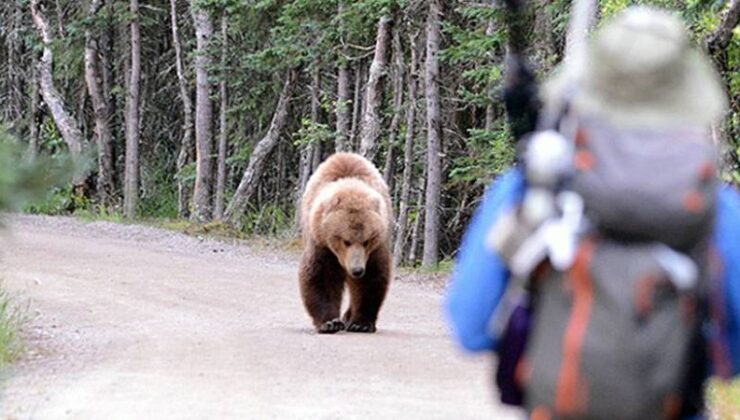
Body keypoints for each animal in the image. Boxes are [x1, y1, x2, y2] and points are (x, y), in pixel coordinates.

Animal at [300, 153, 396, 334]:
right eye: (346, 241)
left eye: (367, 240)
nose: (357, 270)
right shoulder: (321, 243)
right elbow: (321, 276)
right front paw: (329, 322)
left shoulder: (374, 250)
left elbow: (370, 279)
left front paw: (361, 323)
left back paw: (348, 316)